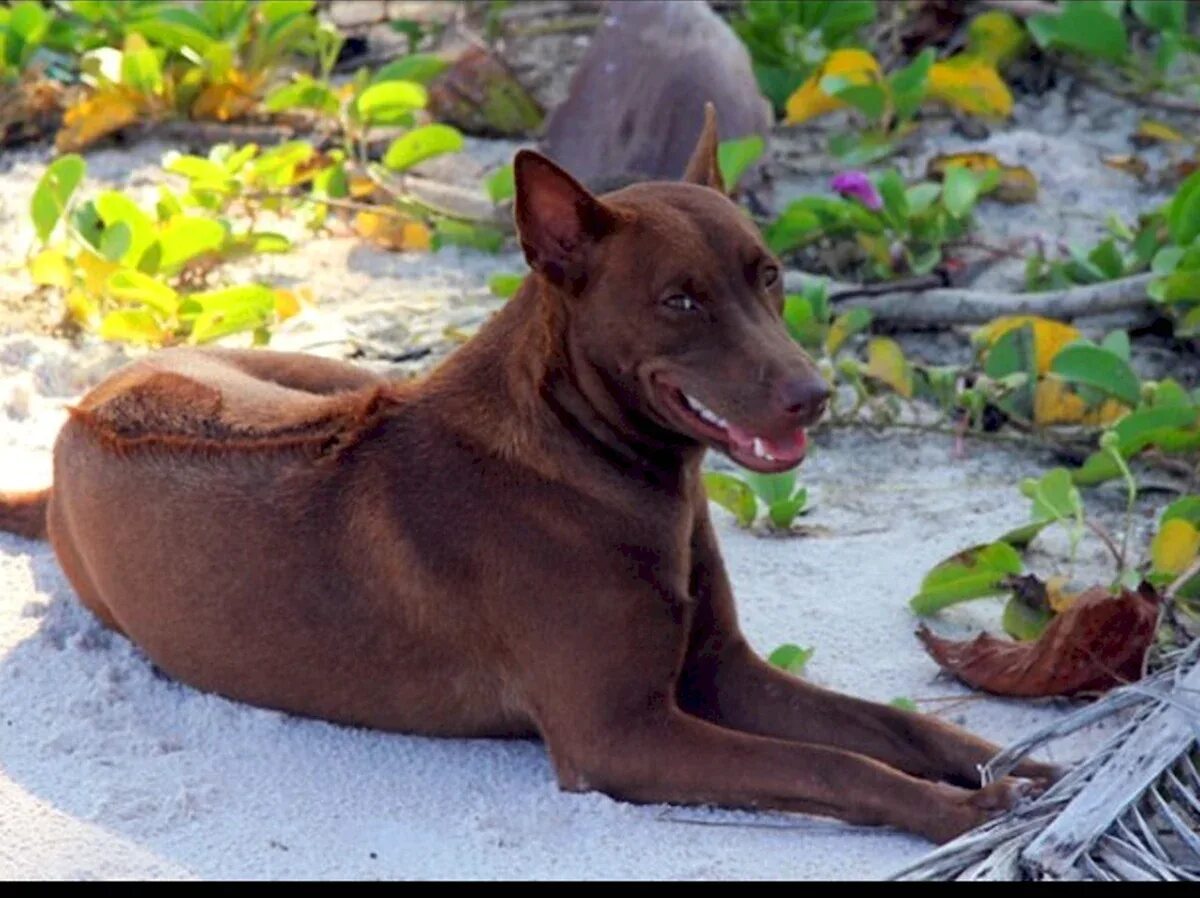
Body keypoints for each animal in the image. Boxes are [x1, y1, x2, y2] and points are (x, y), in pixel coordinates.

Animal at [0, 105, 1051, 840]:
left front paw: (1013, 766)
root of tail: (87, 409)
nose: (814, 396)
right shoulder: (624, 736)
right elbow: (836, 768)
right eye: (679, 300)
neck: (592, 461)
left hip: (337, 378)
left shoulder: (724, 672)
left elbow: (899, 729)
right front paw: (953, 812)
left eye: (770, 275)